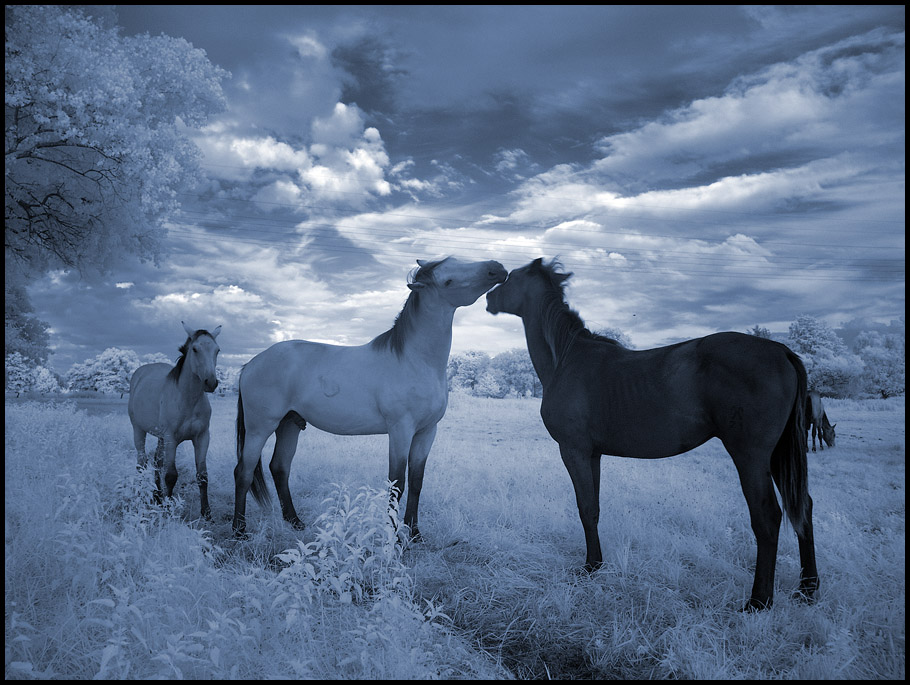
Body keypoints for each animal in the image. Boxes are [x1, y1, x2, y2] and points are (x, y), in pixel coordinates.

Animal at [128, 320, 223, 520]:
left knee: (156, 462)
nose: (211, 382)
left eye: (217, 350)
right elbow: (171, 475)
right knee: (141, 463)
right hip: (138, 430)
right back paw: (143, 495)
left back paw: (157, 495)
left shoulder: (202, 438)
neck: (188, 399)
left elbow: (202, 475)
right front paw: (169, 509)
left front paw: (206, 512)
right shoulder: (171, 438)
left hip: (160, 437)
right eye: (195, 349)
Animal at [232, 254, 510, 536]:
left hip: (290, 424)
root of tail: (251, 364)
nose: (497, 268)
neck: (415, 360)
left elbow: (417, 481)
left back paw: (295, 521)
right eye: (448, 280)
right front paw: (392, 535)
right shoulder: (400, 431)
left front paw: (415, 533)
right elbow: (397, 482)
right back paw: (239, 529)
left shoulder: (426, 432)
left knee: (279, 468)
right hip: (260, 428)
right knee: (243, 472)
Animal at [488, 258, 824, 608]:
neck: (566, 357)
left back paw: (759, 601)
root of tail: (781, 351)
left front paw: (590, 566)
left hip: (751, 457)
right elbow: (594, 508)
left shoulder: (574, 450)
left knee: (767, 517)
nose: (488, 299)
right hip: (778, 455)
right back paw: (807, 589)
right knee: (804, 507)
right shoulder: (593, 454)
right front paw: (598, 564)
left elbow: (585, 508)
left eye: (510, 279)